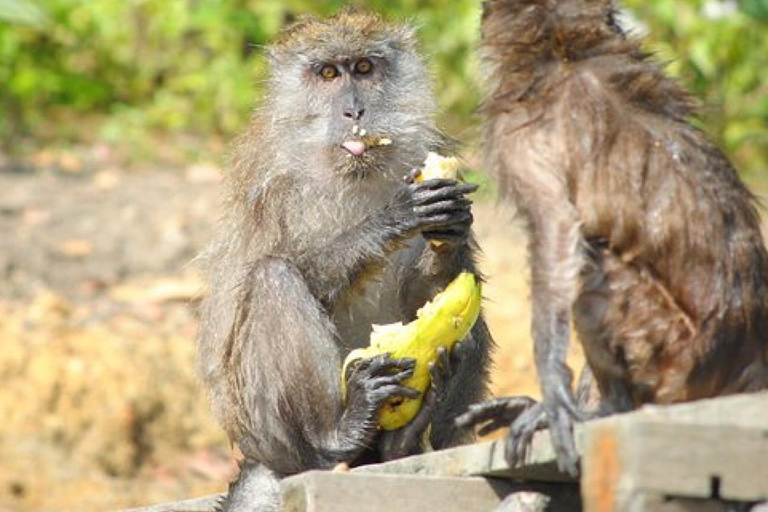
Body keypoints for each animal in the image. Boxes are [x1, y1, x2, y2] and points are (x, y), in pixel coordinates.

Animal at [196, 10, 492, 510]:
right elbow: (275, 273)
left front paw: (449, 237)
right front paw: (391, 219)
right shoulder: (270, 183)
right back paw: (337, 435)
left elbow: (436, 288)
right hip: (264, 430)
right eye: (329, 74)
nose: (355, 111)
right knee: (274, 278)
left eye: (365, 68)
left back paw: (402, 442)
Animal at [456, 0, 768, 476]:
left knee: (593, 268)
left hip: (672, 357)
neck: (567, 49)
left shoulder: (525, 138)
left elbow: (558, 235)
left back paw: (607, 409)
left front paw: (553, 391)